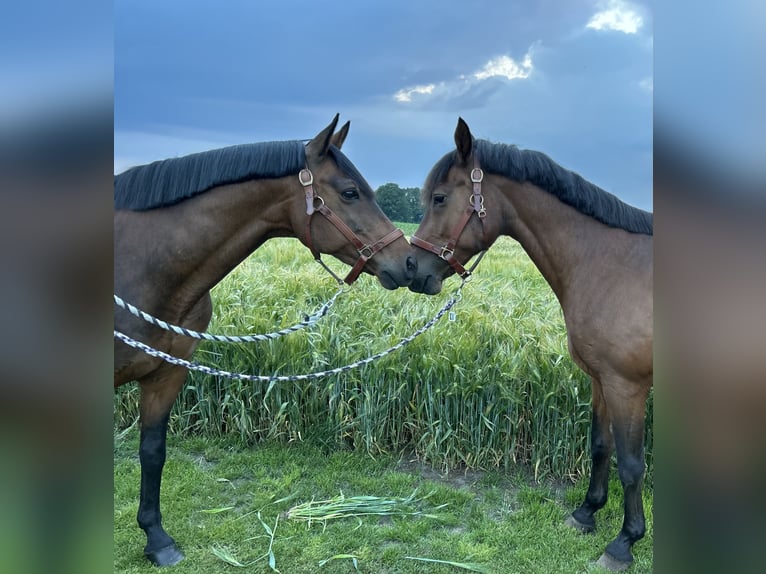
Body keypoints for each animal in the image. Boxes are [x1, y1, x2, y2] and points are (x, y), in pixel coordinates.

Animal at [115, 116, 416, 568]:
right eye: (349, 192)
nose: (410, 262)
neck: (142, 265)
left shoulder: (167, 374)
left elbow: (152, 452)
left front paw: (157, 539)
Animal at [408, 118, 656, 572]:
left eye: (439, 197)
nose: (412, 269)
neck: (611, 264)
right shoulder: (600, 381)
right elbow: (600, 447)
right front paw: (585, 514)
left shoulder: (627, 386)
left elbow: (631, 465)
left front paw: (623, 543)